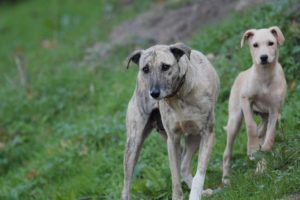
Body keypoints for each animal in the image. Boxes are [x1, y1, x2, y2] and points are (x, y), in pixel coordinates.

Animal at [122, 43, 220, 200]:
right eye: (145, 69)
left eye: (165, 66)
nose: (154, 93)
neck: (178, 95)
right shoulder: (172, 141)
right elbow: (175, 180)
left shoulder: (207, 134)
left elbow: (199, 174)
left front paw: (195, 194)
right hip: (133, 145)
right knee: (126, 185)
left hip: (194, 137)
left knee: (184, 166)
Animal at [221, 27, 288, 184]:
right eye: (255, 45)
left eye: (271, 43)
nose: (263, 57)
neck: (264, 76)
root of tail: (241, 73)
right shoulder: (246, 100)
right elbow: (250, 126)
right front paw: (252, 149)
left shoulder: (274, 111)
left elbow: (269, 141)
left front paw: (261, 167)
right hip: (235, 119)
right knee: (227, 152)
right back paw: (226, 179)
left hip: (266, 116)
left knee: (262, 130)